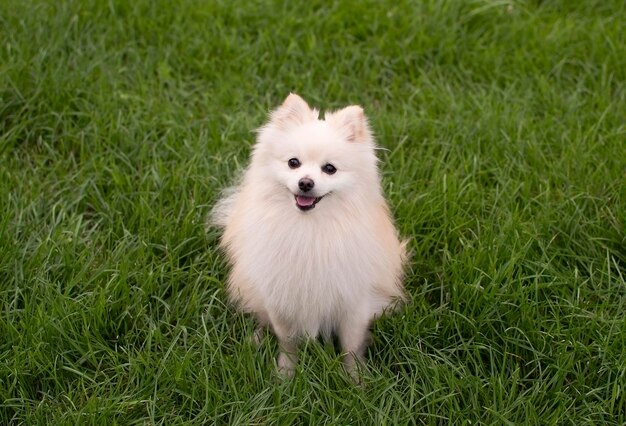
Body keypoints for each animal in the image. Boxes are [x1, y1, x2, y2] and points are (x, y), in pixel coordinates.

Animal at [210, 93, 404, 376]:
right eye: (294, 163)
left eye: (330, 169)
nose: (305, 182)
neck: (309, 228)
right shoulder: (281, 296)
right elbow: (287, 340)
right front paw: (285, 374)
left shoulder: (353, 300)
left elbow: (351, 345)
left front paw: (355, 379)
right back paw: (256, 338)